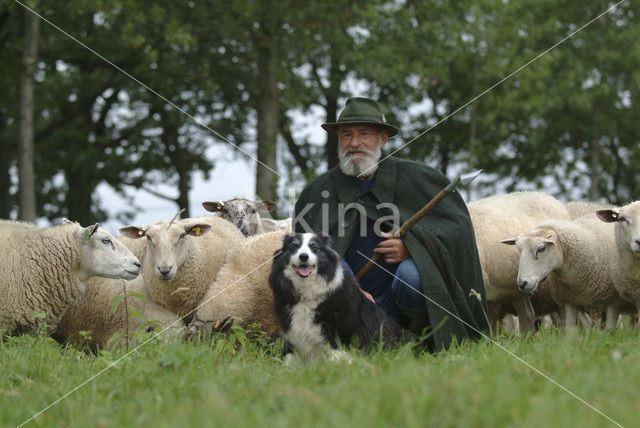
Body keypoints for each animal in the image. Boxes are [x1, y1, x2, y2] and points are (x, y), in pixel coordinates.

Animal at [268, 232, 402, 360]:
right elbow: (290, 358)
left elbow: (337, 354)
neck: (307, 292)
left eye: (314, 247)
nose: (304, 256)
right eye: (293, 246)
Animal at [502, 217, 632, 332]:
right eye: (519, 249)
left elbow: (610, 329)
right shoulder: (570, 299)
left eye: (541, 249)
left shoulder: (612, 301)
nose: (522, 283)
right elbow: (571, 329)